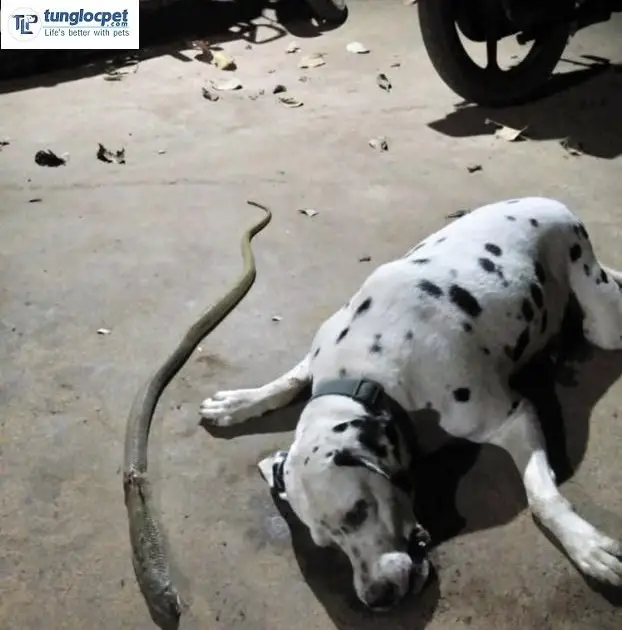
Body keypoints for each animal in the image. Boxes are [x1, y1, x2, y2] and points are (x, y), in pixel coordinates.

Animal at [201, 198, 622, 612]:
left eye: (358, 511)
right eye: (326, 542)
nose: (376, 598)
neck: (372, 370)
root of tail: (550, 202)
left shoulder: (513, 417)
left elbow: (542, 498)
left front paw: (586, 546)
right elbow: (285, 383)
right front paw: (236, 403)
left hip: (601, 316)